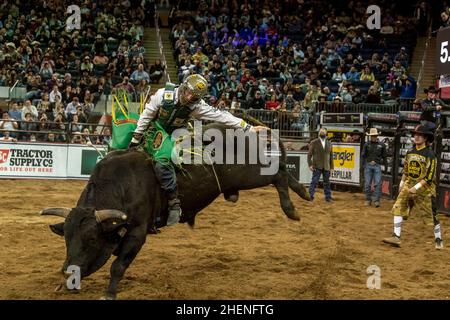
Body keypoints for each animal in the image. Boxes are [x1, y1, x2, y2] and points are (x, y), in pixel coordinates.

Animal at [42, 127, 310, 300]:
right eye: (66, 238)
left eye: (90, 239)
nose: (69, 271)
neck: (122, 185)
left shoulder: (138, 231)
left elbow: (118, 265)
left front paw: (109, 293)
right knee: (282, 170)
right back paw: (304, 192)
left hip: (248, 174)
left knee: (278, 173)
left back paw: (292, 208)